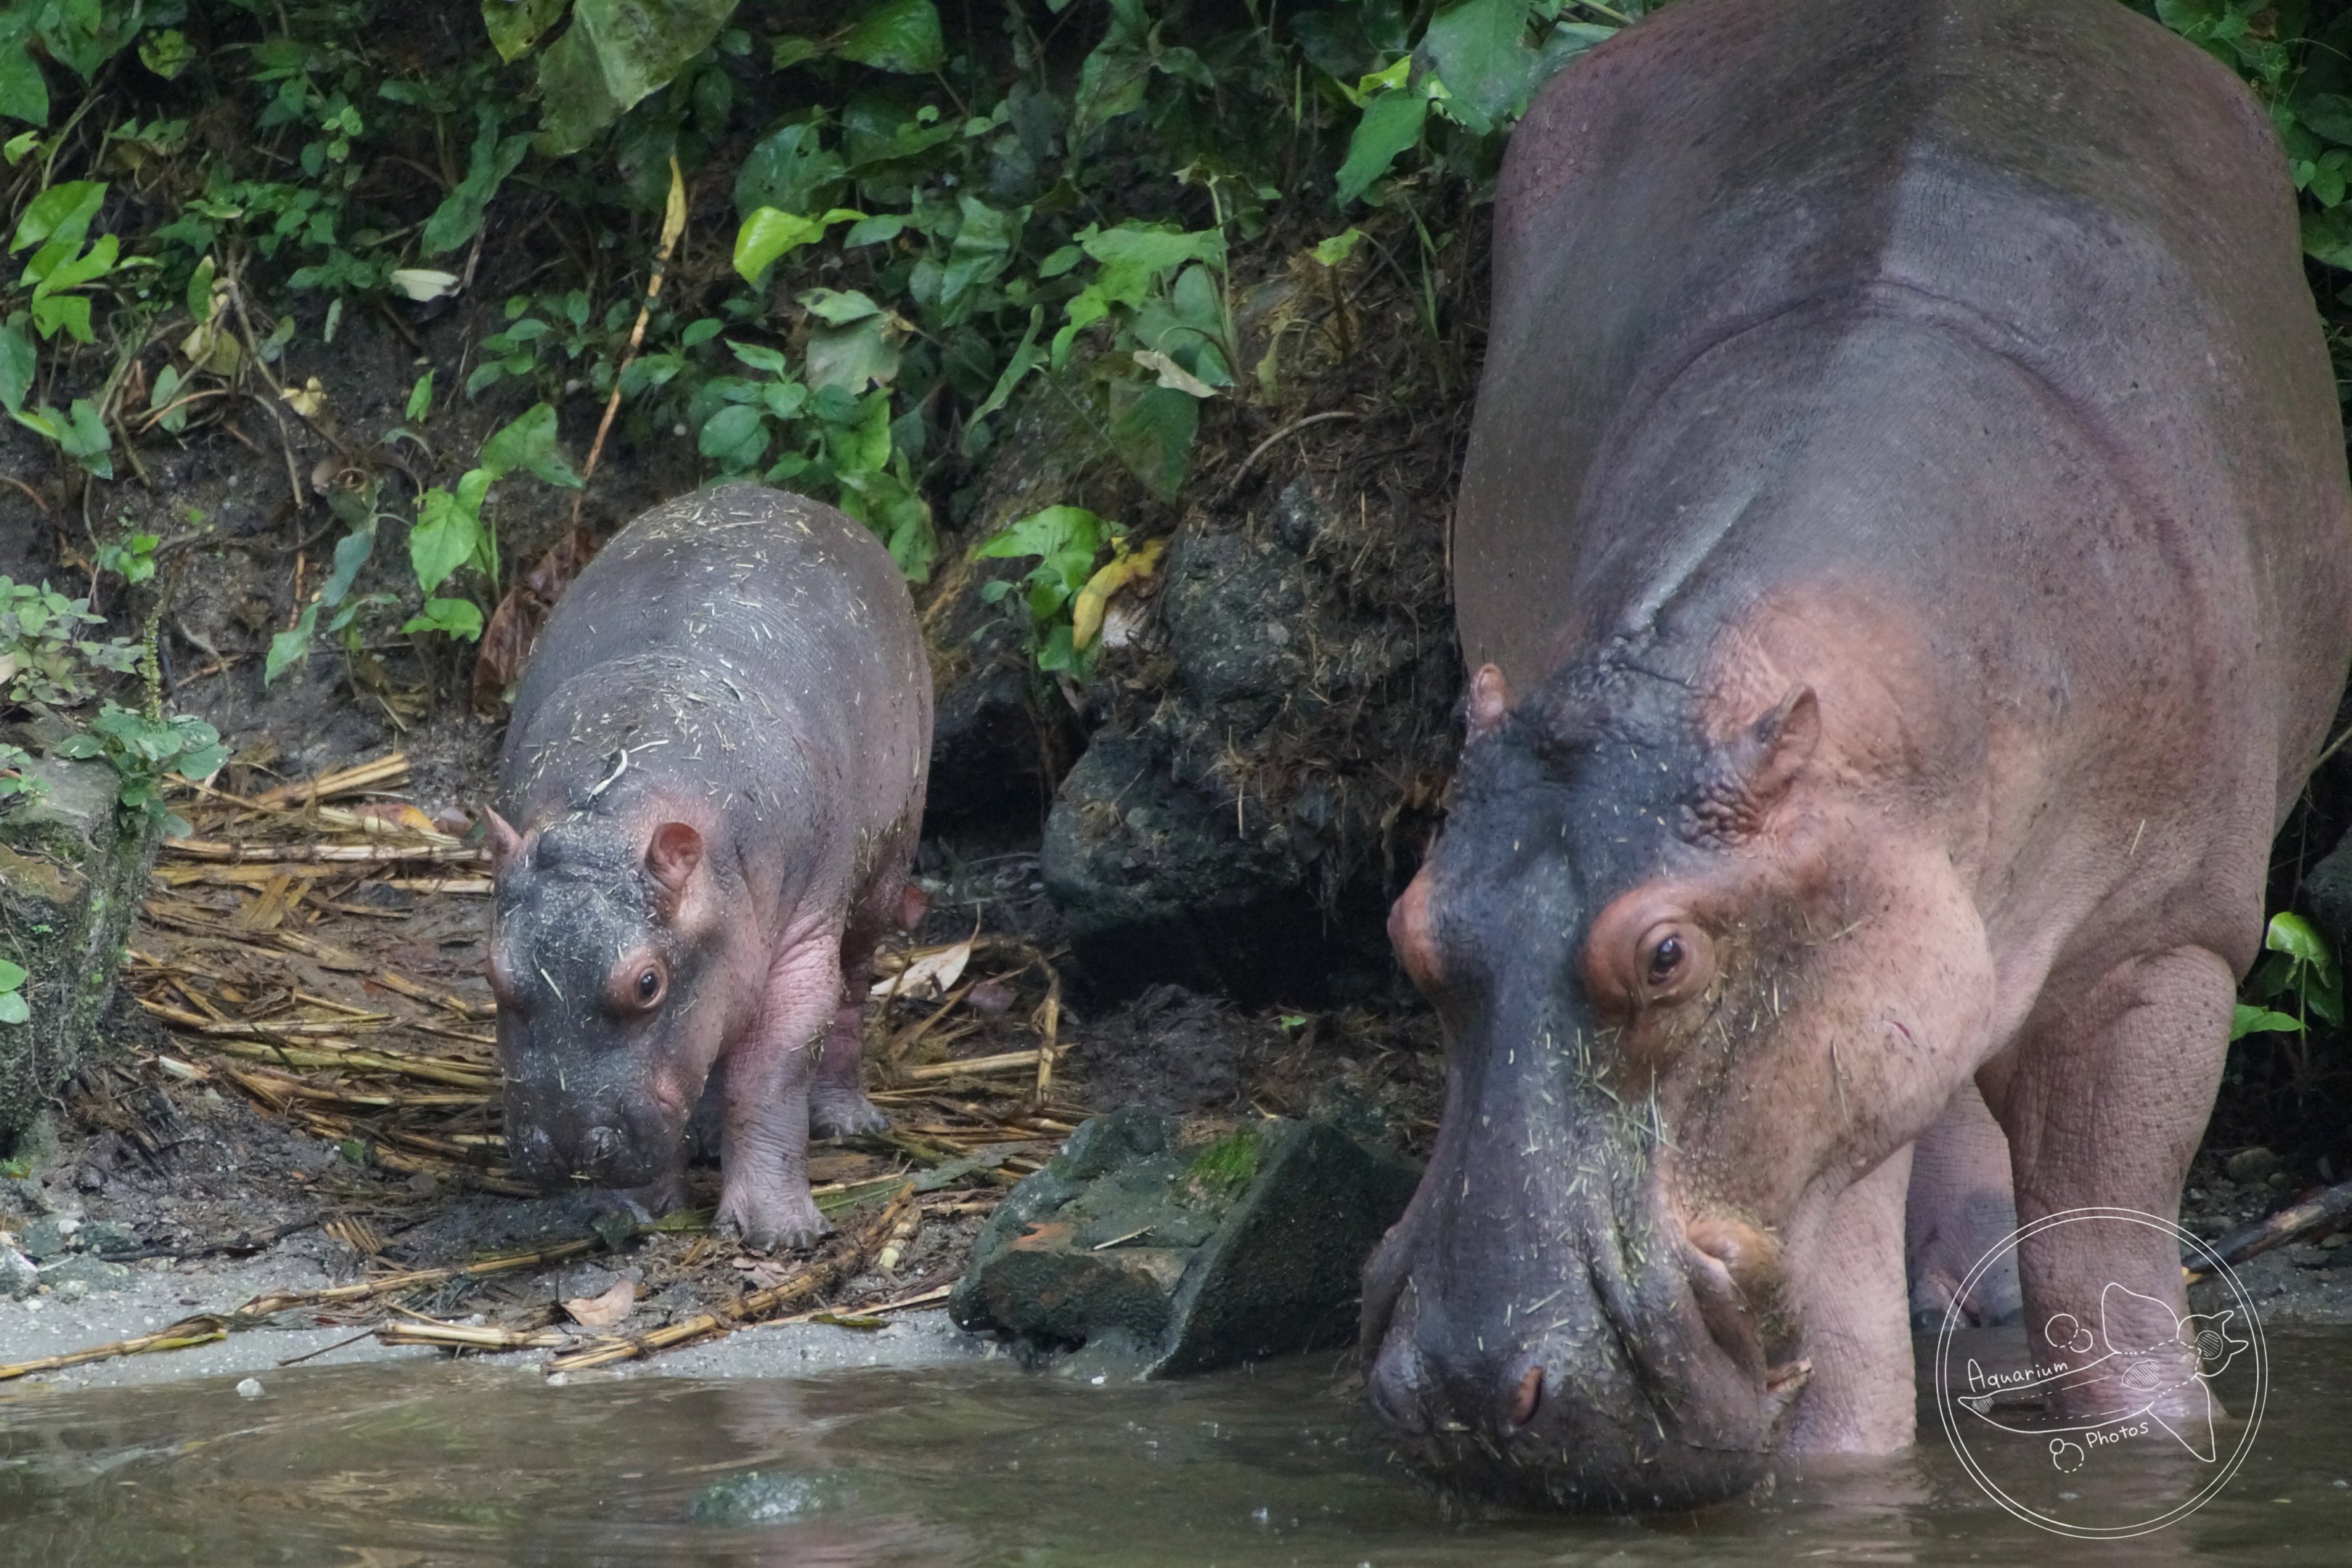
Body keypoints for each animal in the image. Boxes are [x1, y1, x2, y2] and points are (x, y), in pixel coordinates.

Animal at [485, 484, 931, 1249]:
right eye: (493, 971)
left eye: (647, 984)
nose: (571, 1147)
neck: (610, 814)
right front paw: (632, 1214)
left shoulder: (799, 942)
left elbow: (775, 1070)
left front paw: (781, 1235)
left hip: (883, 870)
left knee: (852, 989)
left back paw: (850, 1122)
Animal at [1362, 0, 2352, 1509]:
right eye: (1411, 932)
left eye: (1665, 954)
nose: (1478, 1390)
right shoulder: (1838, 1032)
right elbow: (1841, 1367)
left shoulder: (2160, 944)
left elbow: (2106, 1243)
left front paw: (2151, 1443)